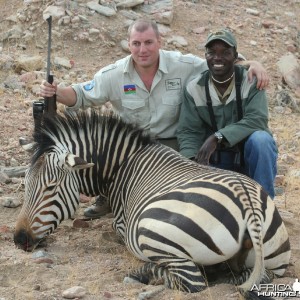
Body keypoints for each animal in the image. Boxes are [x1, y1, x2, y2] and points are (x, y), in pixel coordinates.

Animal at [14, 109, 290, 298]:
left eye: (50, 188)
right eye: (26, 184)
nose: (19, 239)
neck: (123, 165)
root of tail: (248, 203)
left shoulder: (123, 224)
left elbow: (115, 229)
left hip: (151, 230)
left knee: (192, 282)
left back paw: (142, 273)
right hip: (274, 262)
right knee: (257, 276)